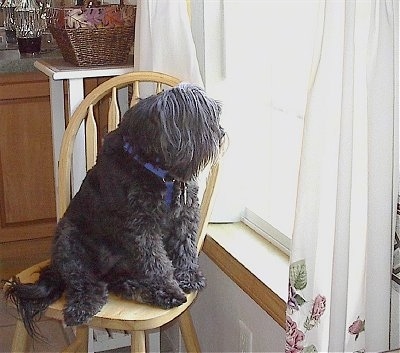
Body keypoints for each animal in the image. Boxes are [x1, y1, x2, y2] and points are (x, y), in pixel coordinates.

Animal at [3, 82, 225, 338]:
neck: (155, 169)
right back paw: (82, 307)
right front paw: (168, 289)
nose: (222, 134)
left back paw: (139, 290)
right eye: (206, 119)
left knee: (116, 283)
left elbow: (185, 248)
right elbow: (156, 263)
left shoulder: (185, 217)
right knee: (85, 283)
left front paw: (189, 276)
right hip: (68, 239)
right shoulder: (142, 227)